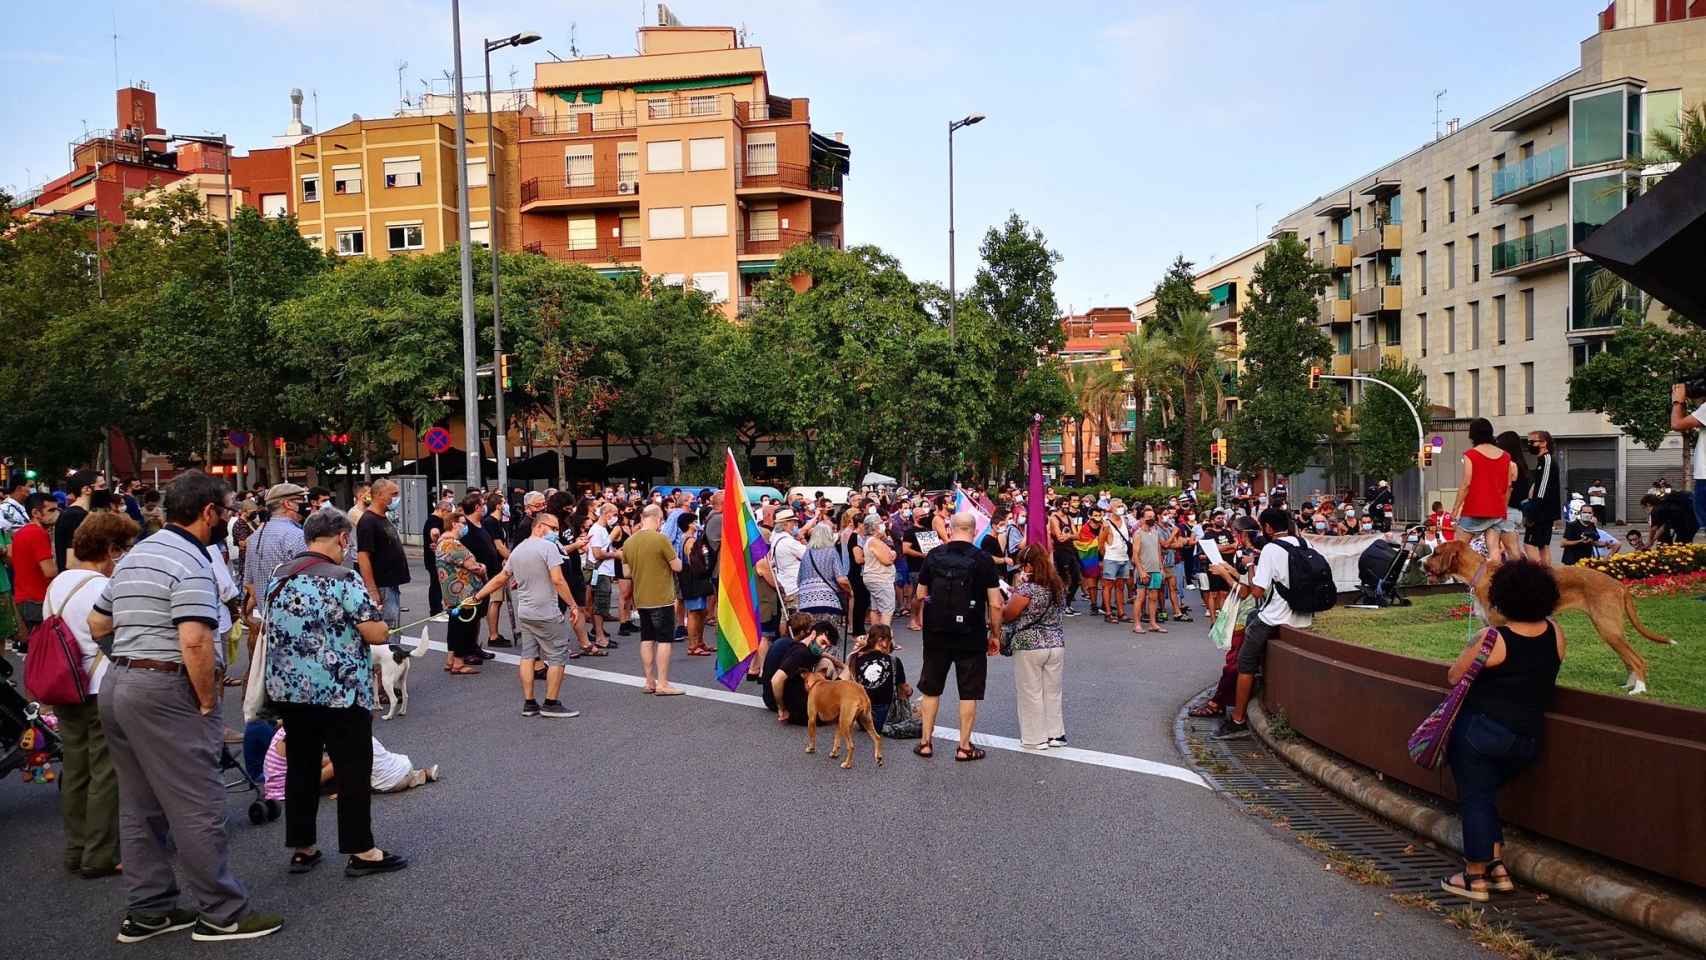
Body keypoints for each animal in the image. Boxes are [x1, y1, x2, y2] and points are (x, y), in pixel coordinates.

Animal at [1419, 542, 1671, 692]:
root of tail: (1619, 584)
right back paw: (1629, 685)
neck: (1480, 574)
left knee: (1637, 659)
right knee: (1629, 659)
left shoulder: (1502, 628)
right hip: (1611, 630)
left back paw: (1639, 689)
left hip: (1608, 628)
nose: (1419, 562)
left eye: (1436, 552)